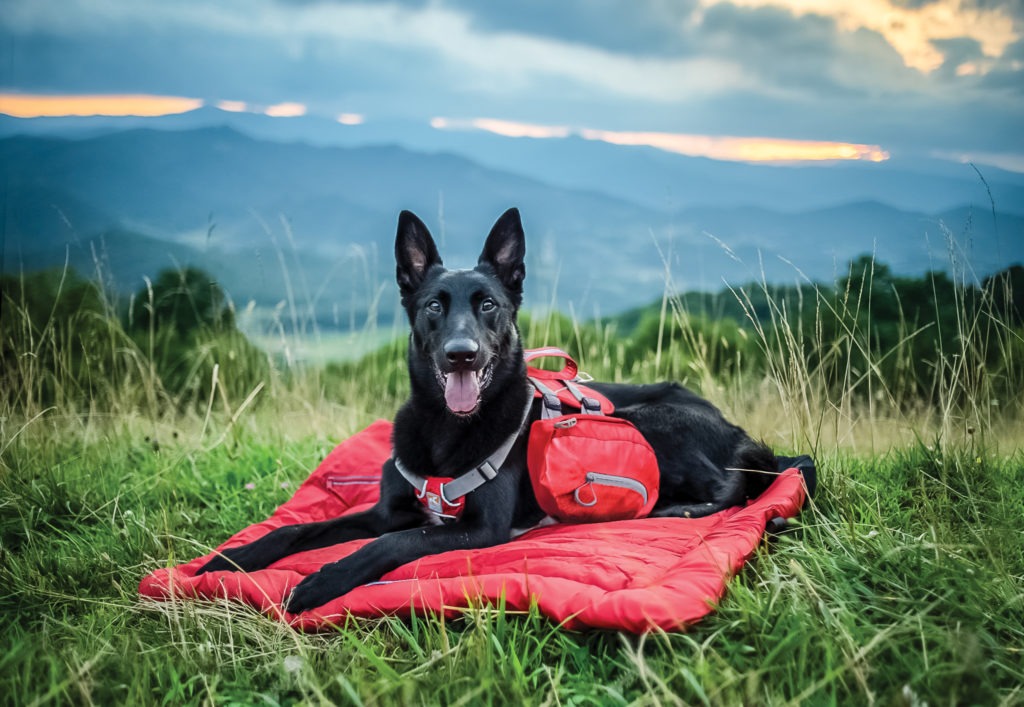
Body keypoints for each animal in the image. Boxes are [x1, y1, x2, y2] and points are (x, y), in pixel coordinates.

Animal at [197, 206, 774, 606]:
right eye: (434, 305)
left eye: (489, 305)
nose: (461, 354)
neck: (444, 427)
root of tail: (739, 432)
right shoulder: (388, 511)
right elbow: (296, 529)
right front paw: (230, 558)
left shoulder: (478, 530)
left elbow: (391, 545)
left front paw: (323, 580)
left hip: (646, 420)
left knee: (733, 486)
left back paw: (682, 508)